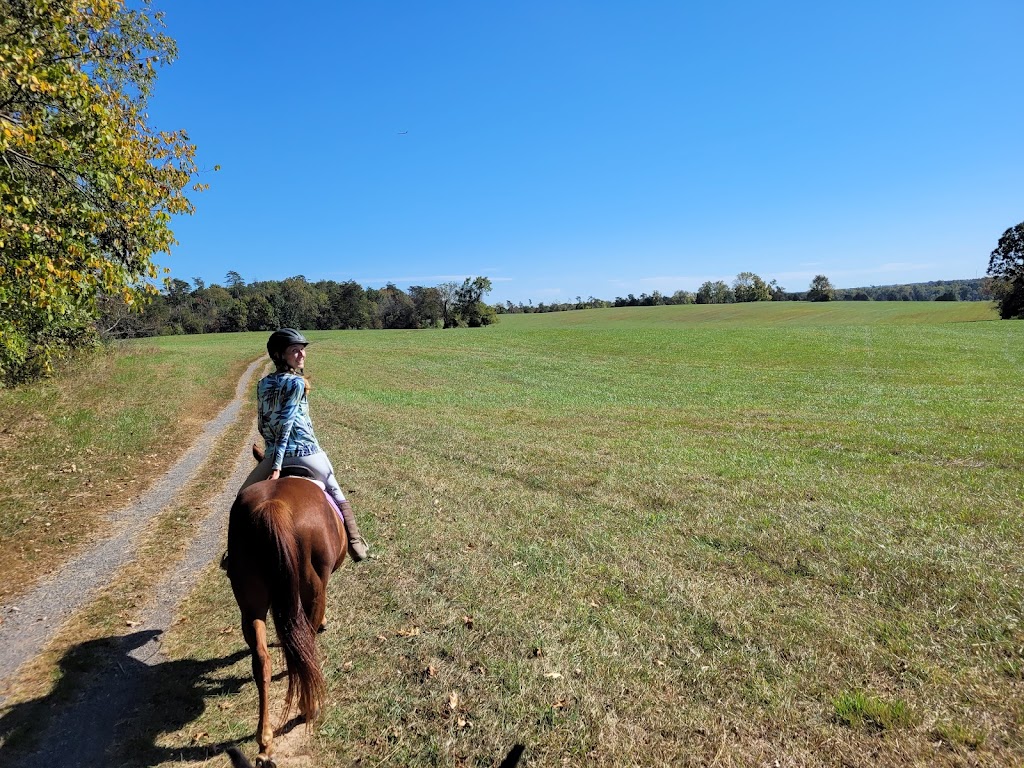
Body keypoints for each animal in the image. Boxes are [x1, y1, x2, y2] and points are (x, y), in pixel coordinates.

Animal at [227, 466, 348, 765]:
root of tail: (274, 507)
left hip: (250, 600)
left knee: (261, 660)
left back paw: (265, 741)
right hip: (311, 590)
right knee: (305, 645)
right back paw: (308, 707)